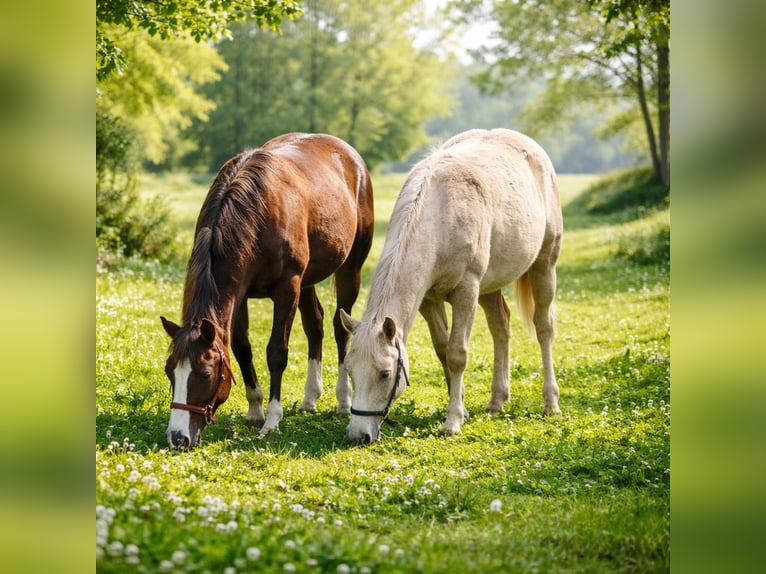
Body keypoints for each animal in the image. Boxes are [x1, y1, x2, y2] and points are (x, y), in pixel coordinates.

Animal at [160, 133, 374, 447]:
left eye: (205, 374)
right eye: (170, 371)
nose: (178, 437)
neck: (259, 213)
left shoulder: (287, 289)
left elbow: (276, 352)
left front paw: (272, 419)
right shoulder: (239, 294)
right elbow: (241, 349)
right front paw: (255, 409)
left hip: (349, 271)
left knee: (340, 328)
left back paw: (343, 400)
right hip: (308, 281)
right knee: (315, 325)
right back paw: (310, 398)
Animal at [340, 128, 562, 443]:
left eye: (384, 373)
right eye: (349, 370)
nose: (359, 435)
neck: (439, 213)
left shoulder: (466, 293)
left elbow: (457, 354)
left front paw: (453, 421)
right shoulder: (428, 301)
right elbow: (443, 350)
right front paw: (461, 408)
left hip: (544, 266)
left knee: (544, 328)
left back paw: (551, 403)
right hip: (490, 286)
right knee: (501, 327)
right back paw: (497, 400)